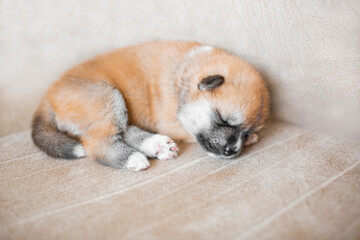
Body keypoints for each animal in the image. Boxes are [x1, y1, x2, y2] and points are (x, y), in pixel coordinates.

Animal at [31, 40, 268, 171]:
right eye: (223, 119)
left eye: (246, 132)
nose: (231, 151)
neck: (182, 75)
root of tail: (47, 98)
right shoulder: (172, 121)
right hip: (107, 96)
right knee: (98, 144)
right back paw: (133, 157)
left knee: (121, 131)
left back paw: (157, 145)